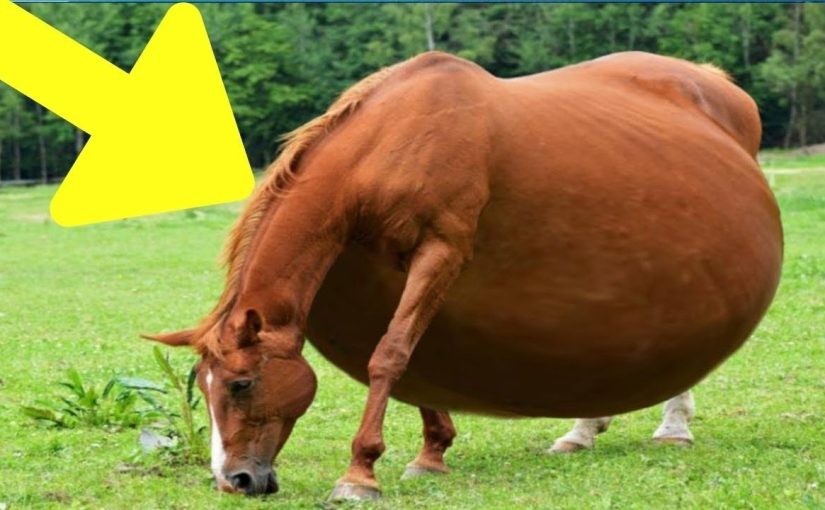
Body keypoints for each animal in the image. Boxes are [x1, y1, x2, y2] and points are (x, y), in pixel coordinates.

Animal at [145, 51, 782, 501]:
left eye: (240, 384)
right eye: (203, 387)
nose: (234, 481)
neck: (391, 141)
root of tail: (713, 81)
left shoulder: (443, 250)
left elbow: (391, 354)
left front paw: (360, 474)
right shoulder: (394, 264)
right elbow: (413, 356)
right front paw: (431, 455)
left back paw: (674, 427)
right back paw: (582, 429)